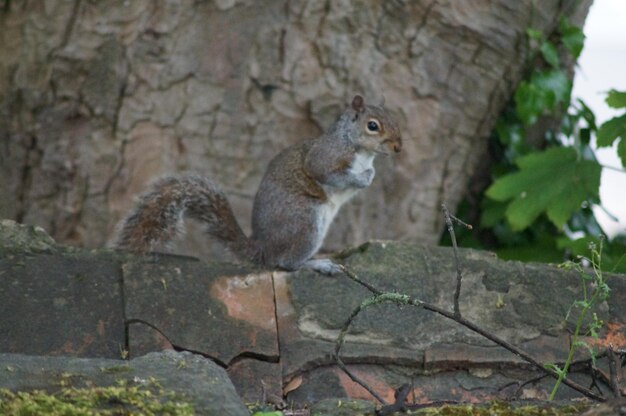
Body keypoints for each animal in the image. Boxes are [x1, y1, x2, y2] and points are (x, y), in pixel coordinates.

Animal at [114, 95, 402, 274]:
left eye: (394, 119)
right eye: (373, 126)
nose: (398, 147)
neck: (359, 148)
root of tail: (262, 249)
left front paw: (370, 174)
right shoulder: (326, 157)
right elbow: (326, 173)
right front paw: (361, 178)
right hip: (306, 222)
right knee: (284, 263)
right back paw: (316, 265)